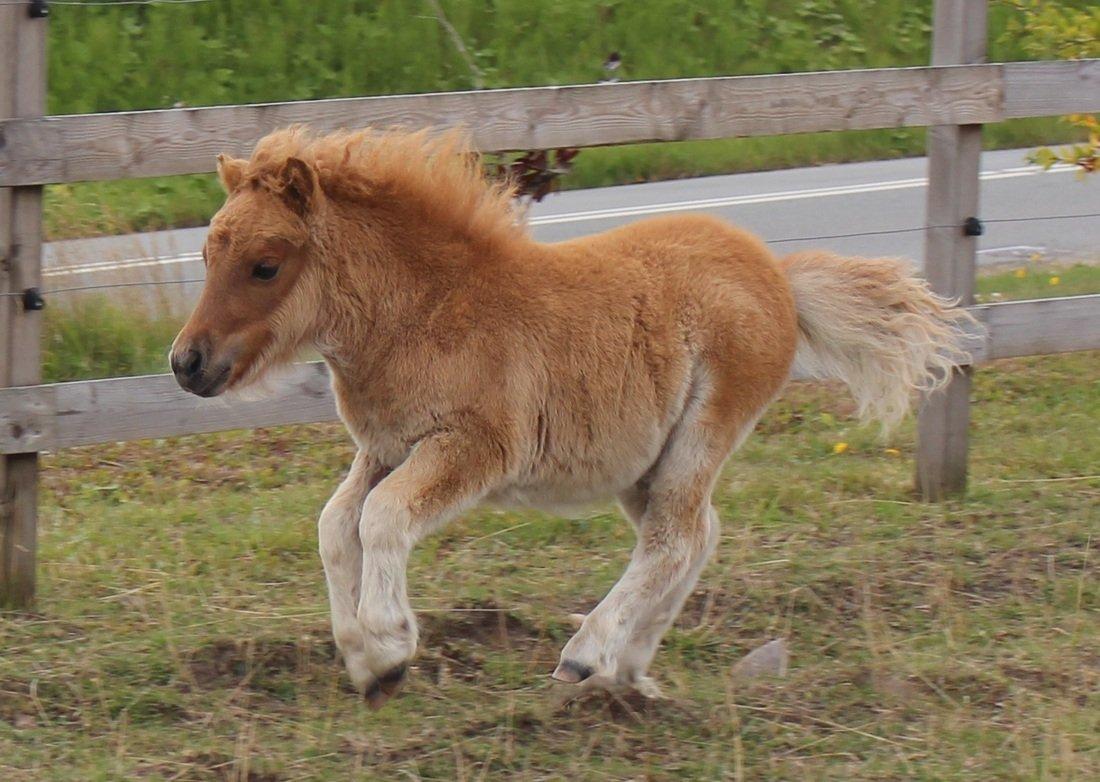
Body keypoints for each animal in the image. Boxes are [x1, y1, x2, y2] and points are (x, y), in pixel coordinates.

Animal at [171, 125, 972, 708]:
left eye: (266, 264)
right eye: (207, 254)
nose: (187, 363)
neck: (428, 311)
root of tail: (778, 276)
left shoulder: (472, 446)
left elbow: (382, 519)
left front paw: (390, 645)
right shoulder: (386, 447)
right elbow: (337, 525)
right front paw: (367, 664)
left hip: (707, 428)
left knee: (675, 539)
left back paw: (587, 656)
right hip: (643, 461)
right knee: (695, 535)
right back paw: (629, 669)